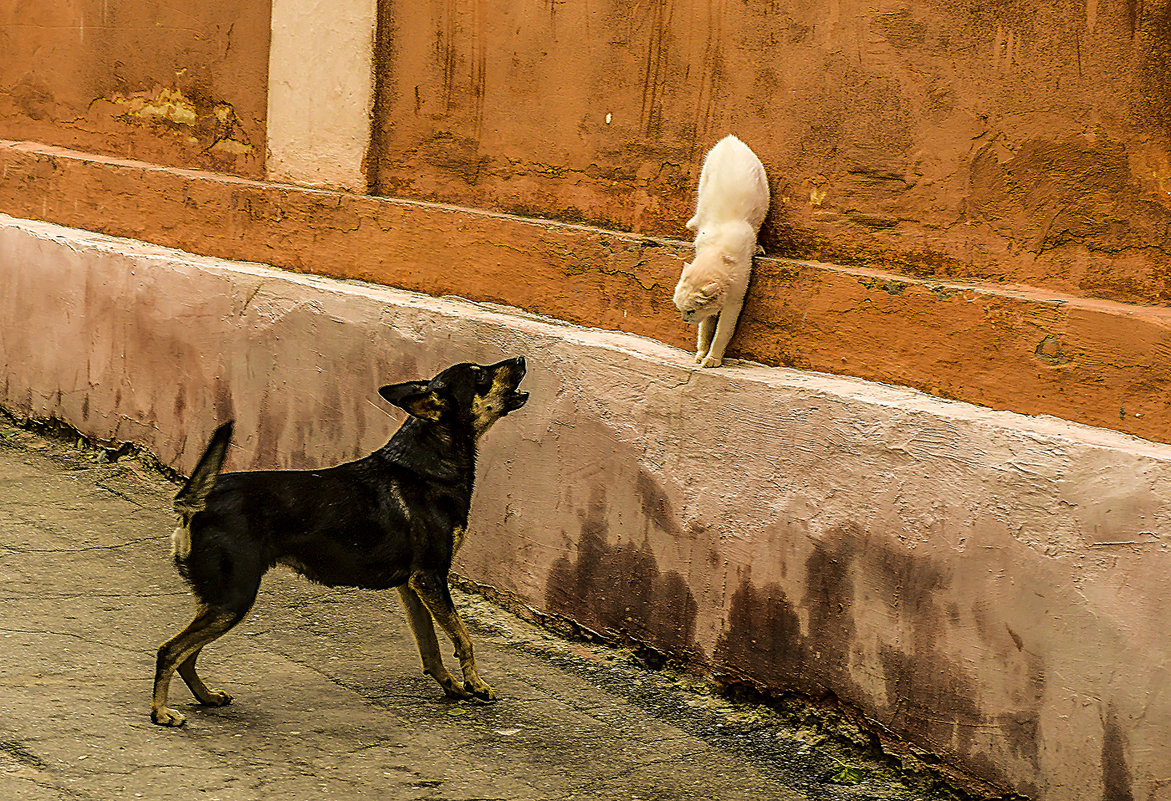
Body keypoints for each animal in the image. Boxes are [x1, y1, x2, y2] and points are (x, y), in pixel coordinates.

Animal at [149, 355, 526, 726]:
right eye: (481, 376)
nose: (522, 358)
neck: (428, 461)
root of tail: (198, 503)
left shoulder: (413, 586)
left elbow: (430, 648)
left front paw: (452, 686)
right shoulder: (431, 579)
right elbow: (463, 636)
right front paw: (476, 684)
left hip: (219, 602)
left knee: (186, 654)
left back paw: (206, 696)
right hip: (232, 600)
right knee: (170, 650)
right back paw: (161, 712)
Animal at [674, 133, 772, 365]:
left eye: (690, 311)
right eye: (681, 310)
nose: (684, 320)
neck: (717, 251)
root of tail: (730, 139)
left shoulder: (735, 299)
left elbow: (721, 333)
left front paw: (712, 358)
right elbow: (706, 329)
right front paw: (702, 352)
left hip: (763, 195)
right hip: (704, 179)